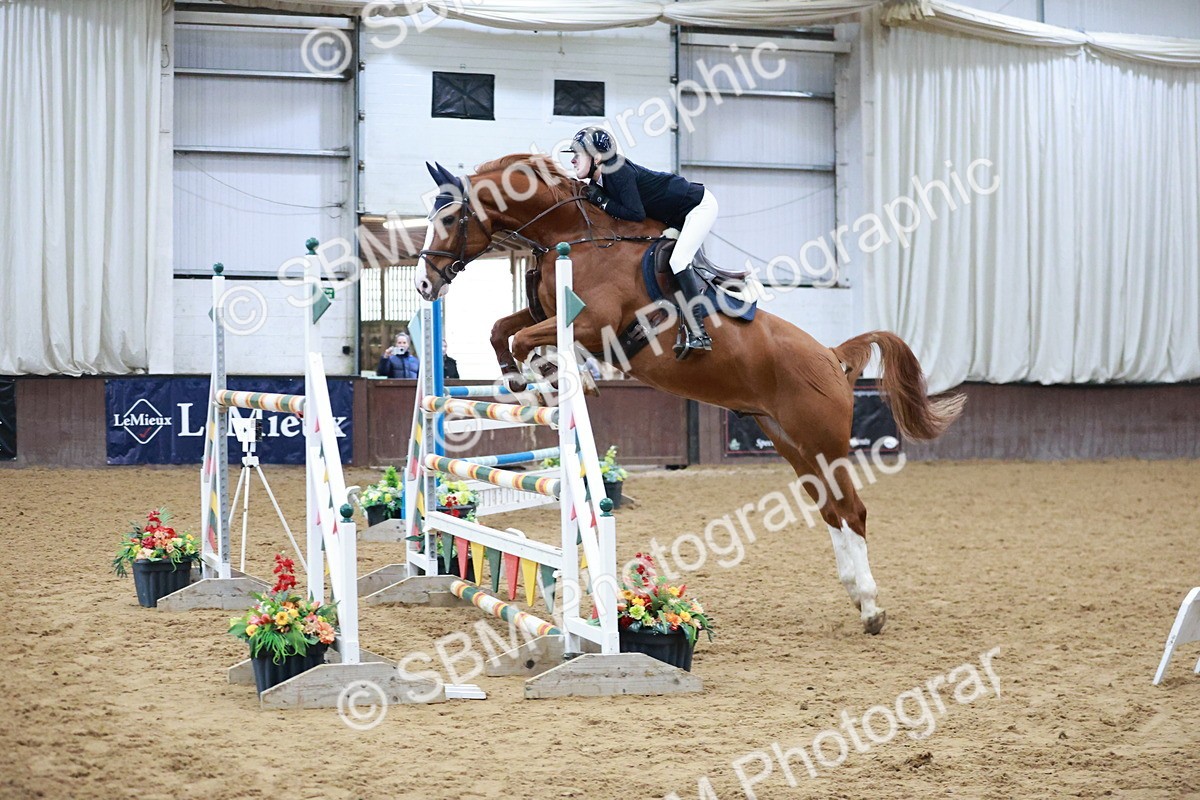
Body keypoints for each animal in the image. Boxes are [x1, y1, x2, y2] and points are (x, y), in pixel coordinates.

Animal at [414, 154, 965, 634]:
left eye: (451, 218)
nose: (423, 284)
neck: (571, 235)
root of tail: (833, 356)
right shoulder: (545, 314)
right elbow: (502, 330)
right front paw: (524, 380)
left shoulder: (592, 325)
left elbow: (526, 339)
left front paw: (551, 379)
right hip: (791, 442)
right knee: (831, 509)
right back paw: (855, 591)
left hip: (824, 441)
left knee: (852, 510)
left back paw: (871, 606)